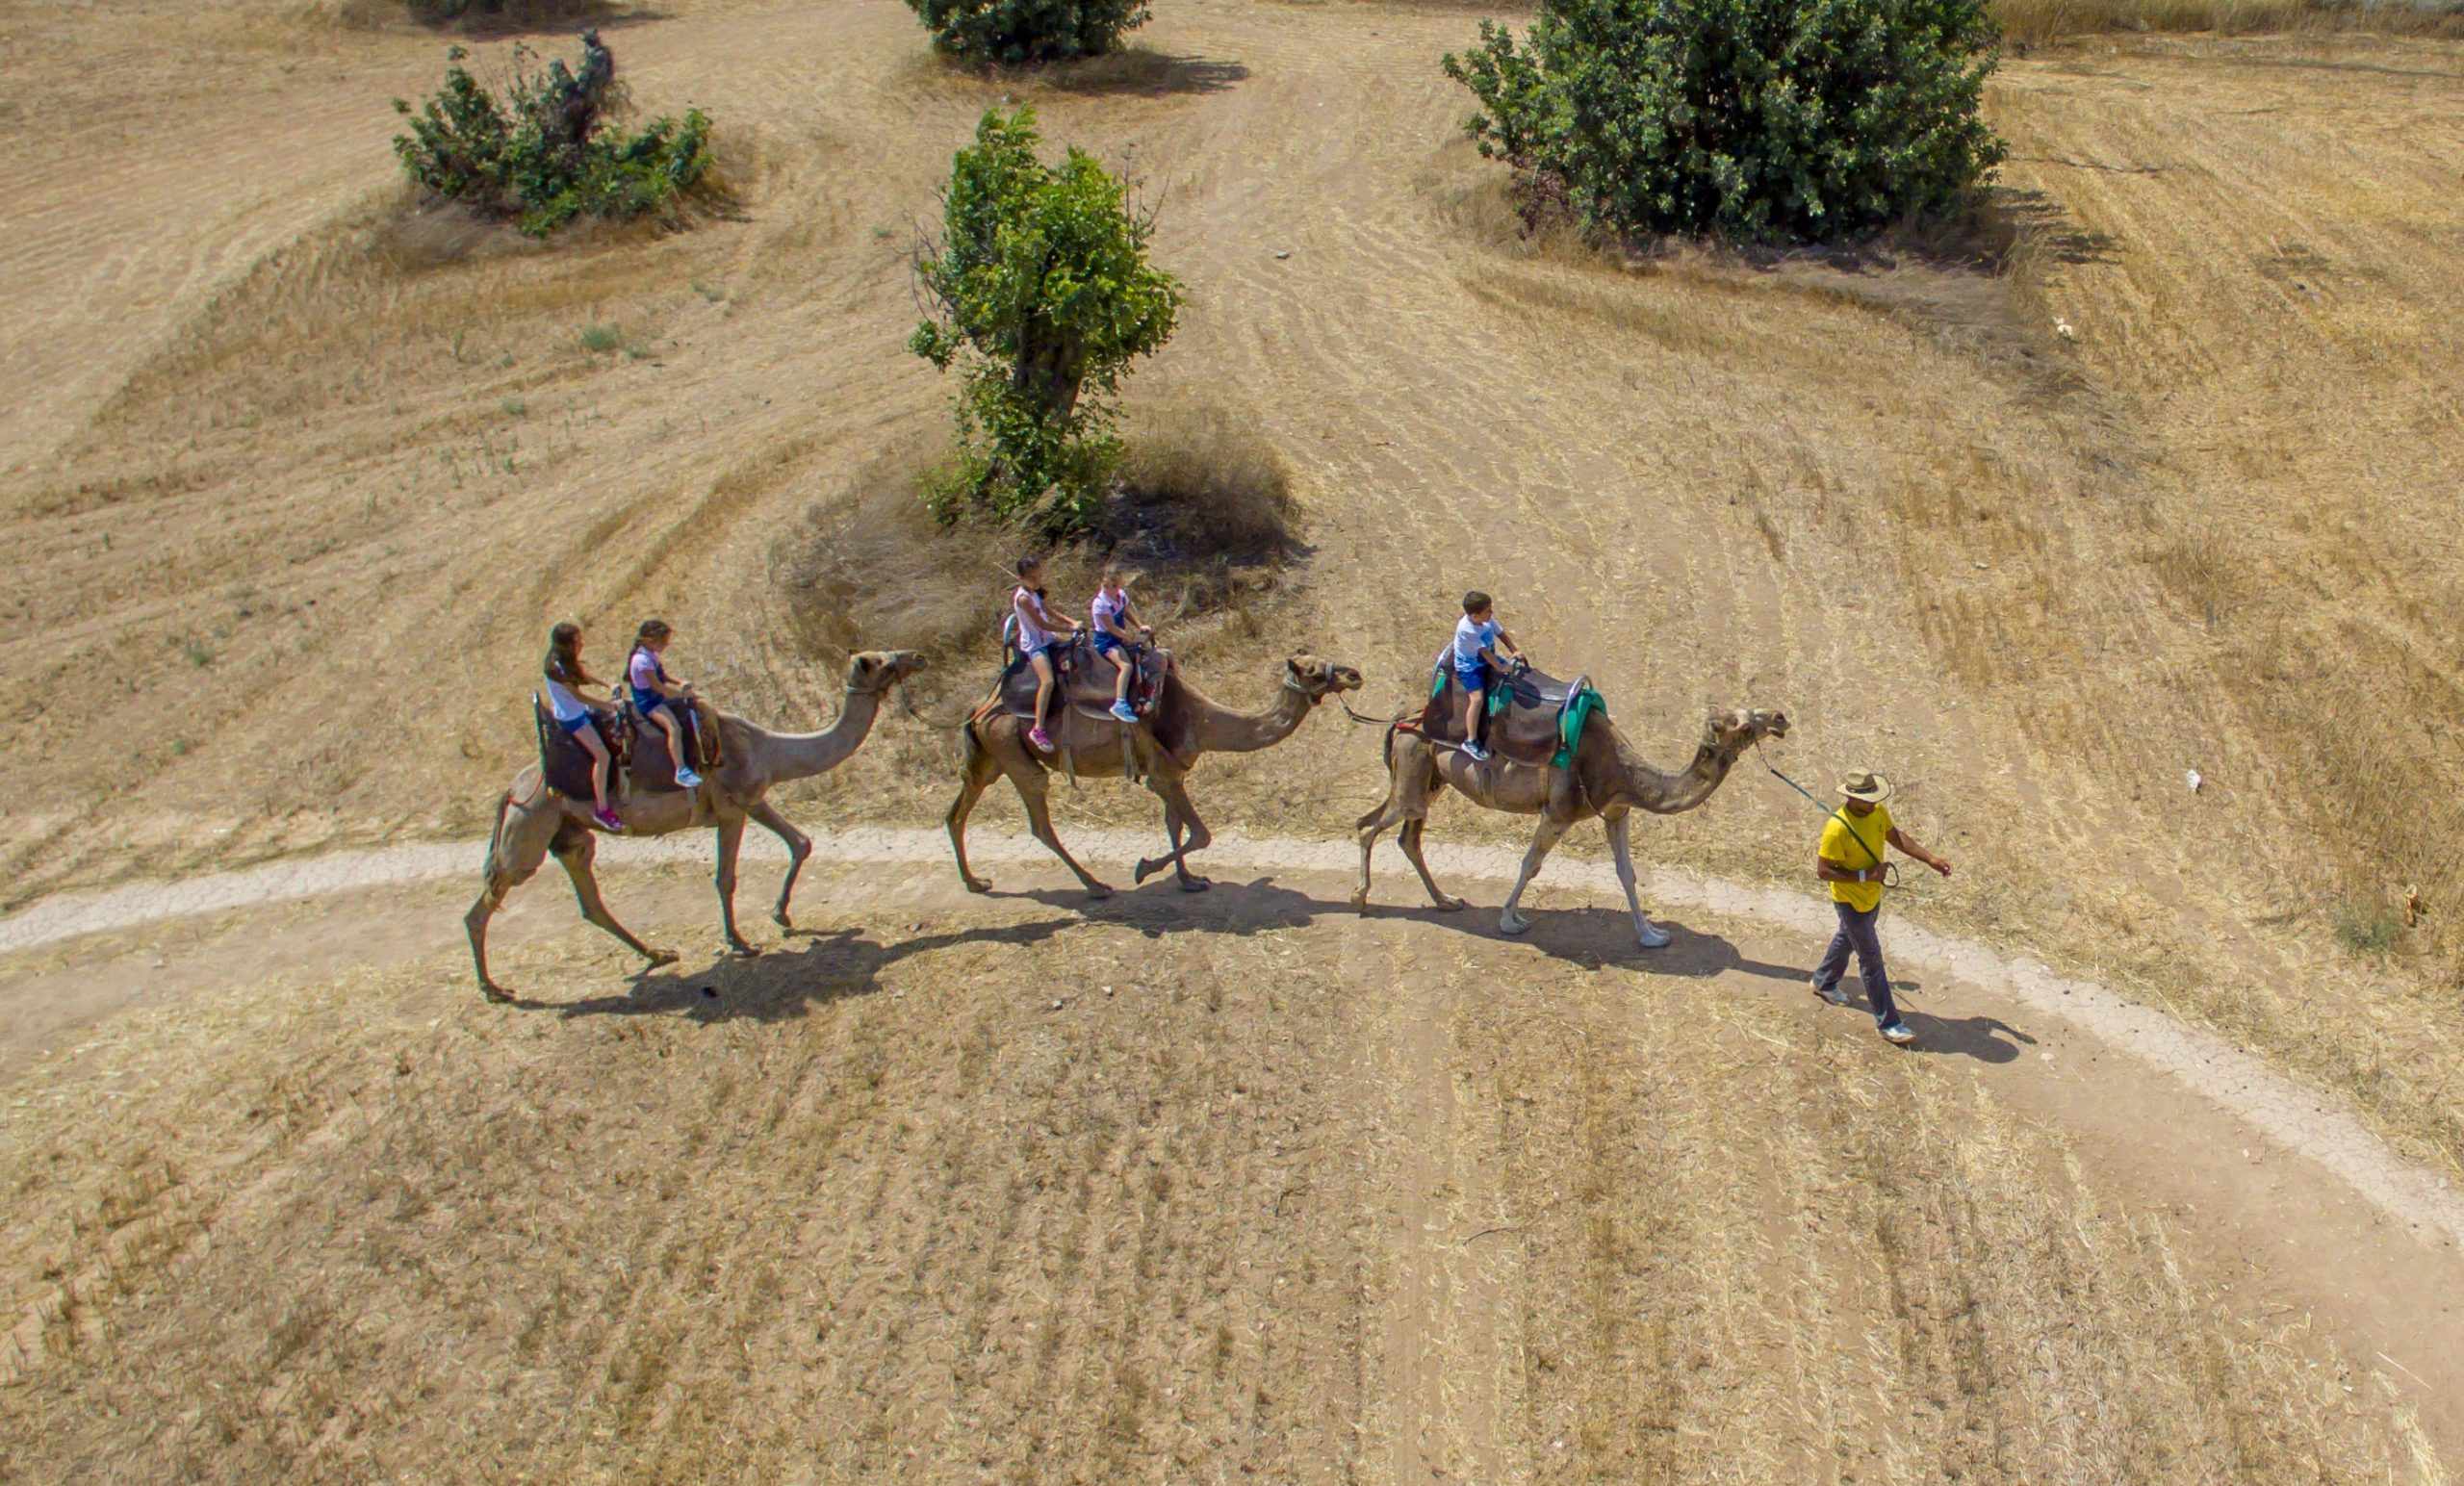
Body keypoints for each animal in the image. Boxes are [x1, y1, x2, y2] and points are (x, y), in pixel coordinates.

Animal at [463, 650, 926, 1000]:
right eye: (880, 661)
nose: (917, 656)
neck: (767, 746)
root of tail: (510, 790)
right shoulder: (730, 809)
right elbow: (725, 878)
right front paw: (740, 942)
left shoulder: (752, 799)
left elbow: (801, 842)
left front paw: (782, 916)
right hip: (529, 826)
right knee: (487, 901)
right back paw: (494, 989)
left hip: (570, 833)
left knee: (589, 899)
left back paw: (657, 955)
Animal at [940, 655, 1370, 902]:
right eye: (1311, 671)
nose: (1354, 674)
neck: (1200, 720)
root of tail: (979, 708)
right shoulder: (1163, 775)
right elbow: (1201, 834)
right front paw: (1143, 869)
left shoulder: (1173, 772)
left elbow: (1174, 824)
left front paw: (1189, 880)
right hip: (1013, 752)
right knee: (1040, 820)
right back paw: (1096, 886)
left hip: (992, 756)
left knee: (956, 811)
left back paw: (975, 882)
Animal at [1349, 665, 1793, 946]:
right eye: (1738, 722)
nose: (1780, 717)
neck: (1623, 770)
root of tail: (1403, 719)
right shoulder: (1558, 812)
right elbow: (1531, 864)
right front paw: (1510, 920)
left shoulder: (1617, 811)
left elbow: (1627, 874)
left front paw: (1651, 935)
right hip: (1412, 770)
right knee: (1369, 826)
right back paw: (1360, 899)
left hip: (1429, 780)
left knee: (1406, 836)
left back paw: (1445, 901)